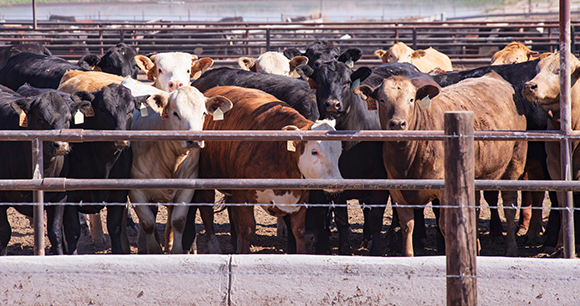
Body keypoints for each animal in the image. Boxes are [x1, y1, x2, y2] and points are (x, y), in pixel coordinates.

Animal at [126, 83, 231, 253]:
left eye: (203, 113)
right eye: (175, 113)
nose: (195, 140)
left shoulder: (187, 187)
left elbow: (178, 221)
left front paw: (176, 251)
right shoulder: (135, 191)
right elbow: (147, 222)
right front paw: (154, 251)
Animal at [356, 71, 528, 256]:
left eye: (411, 99)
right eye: (382, 100)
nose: (397, 124)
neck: (407, 158)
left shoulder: (444, 190)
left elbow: (445, 225)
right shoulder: (396, 189)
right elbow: (407, 224)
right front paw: (408, 255)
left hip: (514, 164)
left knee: (509, 206)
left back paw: (511, 249)